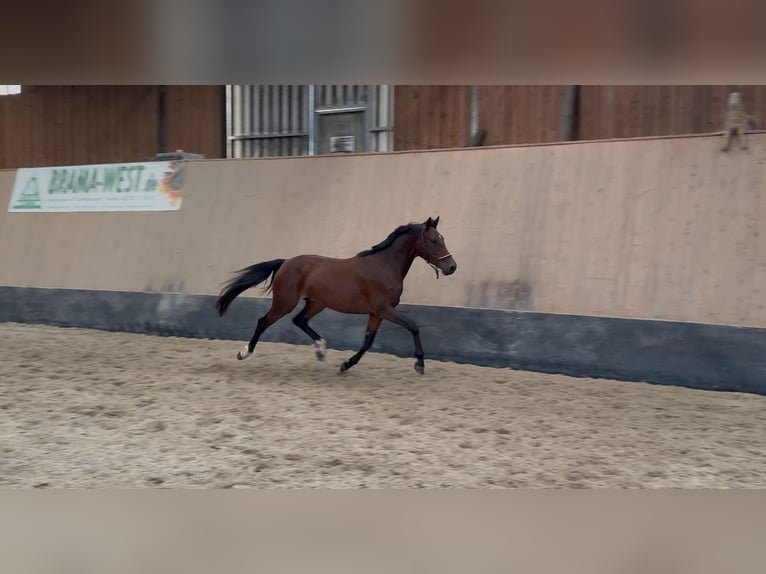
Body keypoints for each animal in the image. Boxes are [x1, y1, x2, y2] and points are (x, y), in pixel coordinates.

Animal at [213, 218, 460, 376]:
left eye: (443, 238)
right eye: (434, 240)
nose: (451, 267)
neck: (384, 265)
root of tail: (285, 262)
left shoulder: (376, 313)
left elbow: (368, 342)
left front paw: (345, 364)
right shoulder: (384, 309)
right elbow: (413, 327)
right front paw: (420, 364)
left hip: (316, 303)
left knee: (299, 320)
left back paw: (321, 350)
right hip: (284, 302)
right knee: (263, 322)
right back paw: (244, 353)